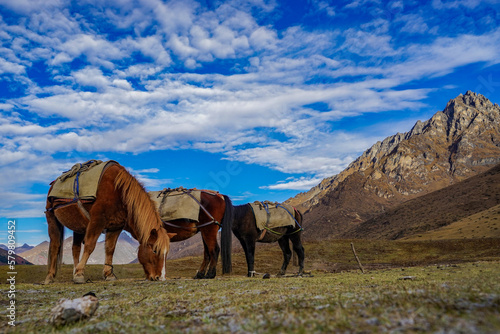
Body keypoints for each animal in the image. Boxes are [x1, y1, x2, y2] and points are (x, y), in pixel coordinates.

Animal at [45, 162, 174, 284]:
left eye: (166, 253)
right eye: (155, 250)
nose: (160, 277)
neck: (120, 193)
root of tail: (53, 185)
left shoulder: (115, 227)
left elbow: (110, 249)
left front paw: (108, 274)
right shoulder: (97, 221)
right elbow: (89, 245)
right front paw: (79, 274)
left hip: (78, 225)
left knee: (75, 248)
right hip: (52, 218)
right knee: (55, 246)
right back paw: (50, 277)